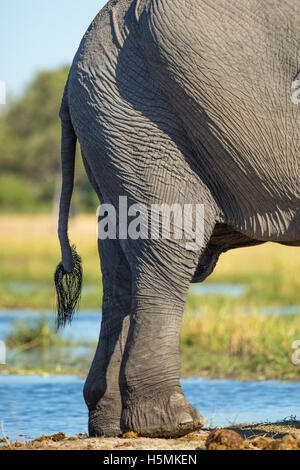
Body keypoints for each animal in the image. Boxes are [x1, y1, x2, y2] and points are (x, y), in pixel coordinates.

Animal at [54, 0, 300, 438]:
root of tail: (67, 83)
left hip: (111, 121)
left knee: (119, 264)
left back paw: (112, 427)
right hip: (138, 117)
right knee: (166, 247)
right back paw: (173, 424)